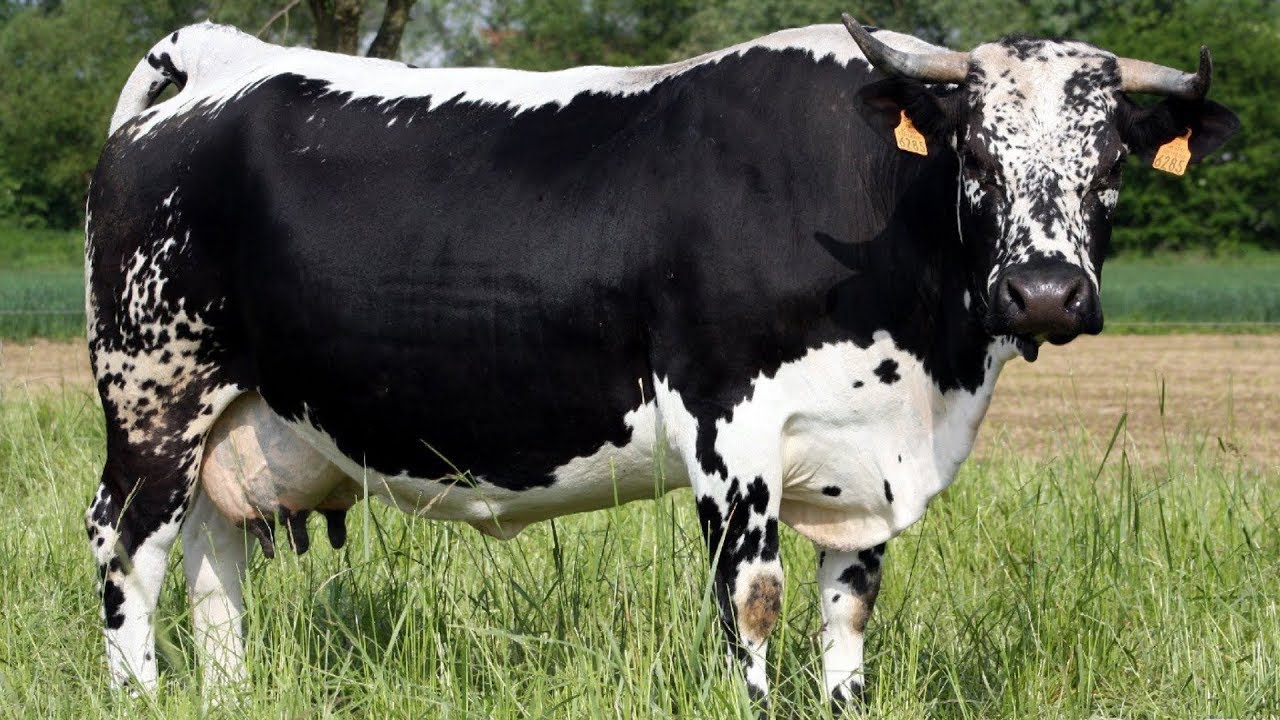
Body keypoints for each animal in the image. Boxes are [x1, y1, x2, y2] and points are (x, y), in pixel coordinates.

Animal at [85, 14, 1237, 711]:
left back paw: (230, 696)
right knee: (124, 549)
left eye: (1110, 160)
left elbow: (850, 609)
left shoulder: (860, 459)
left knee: (214, 564)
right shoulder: (727, 427)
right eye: (977, 156)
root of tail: (220, 61)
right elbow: (753, 601)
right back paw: (139, 695)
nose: (1044, 291)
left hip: (232, 419)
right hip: (152, 393)